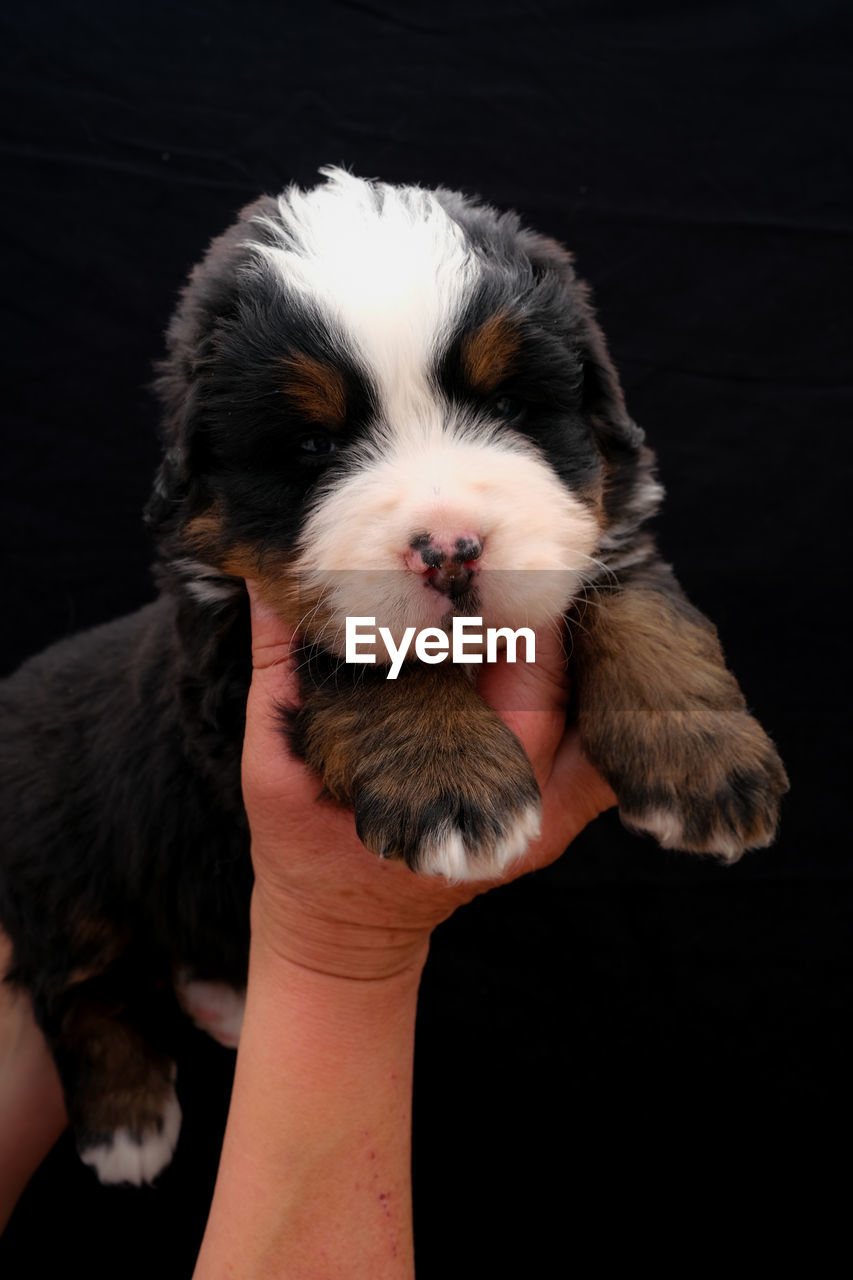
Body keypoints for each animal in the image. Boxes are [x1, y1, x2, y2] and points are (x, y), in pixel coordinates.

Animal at [0, 167, 783, 1177]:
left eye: (508, 409)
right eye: (310, 447)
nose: (448, 550)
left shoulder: (600, 531)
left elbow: (641, 602)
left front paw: (701, 765)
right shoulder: (225, 649)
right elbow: (356, 648)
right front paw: (447, 783)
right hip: (54, 851)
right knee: (75, 982)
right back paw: (127, 1122)